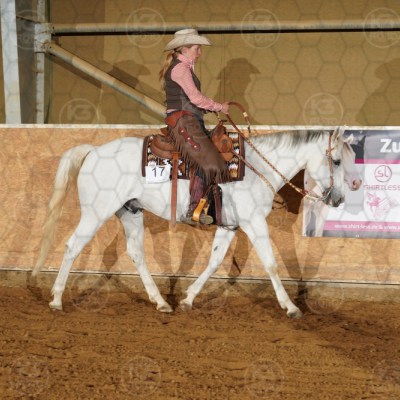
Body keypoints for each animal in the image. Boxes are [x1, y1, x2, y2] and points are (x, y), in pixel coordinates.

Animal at [32, 127, 350, 319]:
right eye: (336, 161)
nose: (338, 199)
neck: (256, 169)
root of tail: (93, 151)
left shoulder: (229, 226)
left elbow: (214, 262)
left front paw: (188, 299)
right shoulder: (254, 222)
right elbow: (271, 263)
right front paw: (291, 306)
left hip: (131, 211)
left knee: (136, 253)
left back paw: (161, 302)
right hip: (96, 212)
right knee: (72, 246)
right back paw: (57, 299)